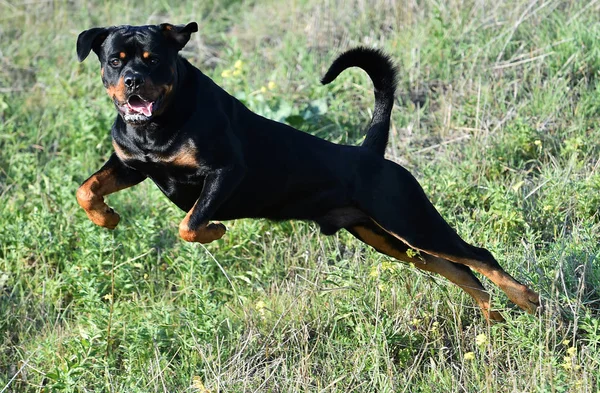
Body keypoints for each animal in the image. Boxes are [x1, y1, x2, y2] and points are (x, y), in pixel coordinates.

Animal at [75, 22, 540, 322]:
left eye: (153, 60)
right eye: (115, 61)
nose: (133, 81)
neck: (157, 126)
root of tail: (370, 153)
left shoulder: (226, 171)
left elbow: (189, 224)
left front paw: (215, 230)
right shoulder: (131, 165)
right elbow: (87, 189)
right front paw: (107, 218)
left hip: (411, 221)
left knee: (479, 257)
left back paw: (529, 300)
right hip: (390, 240)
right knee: (461, 272)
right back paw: (494, 318)